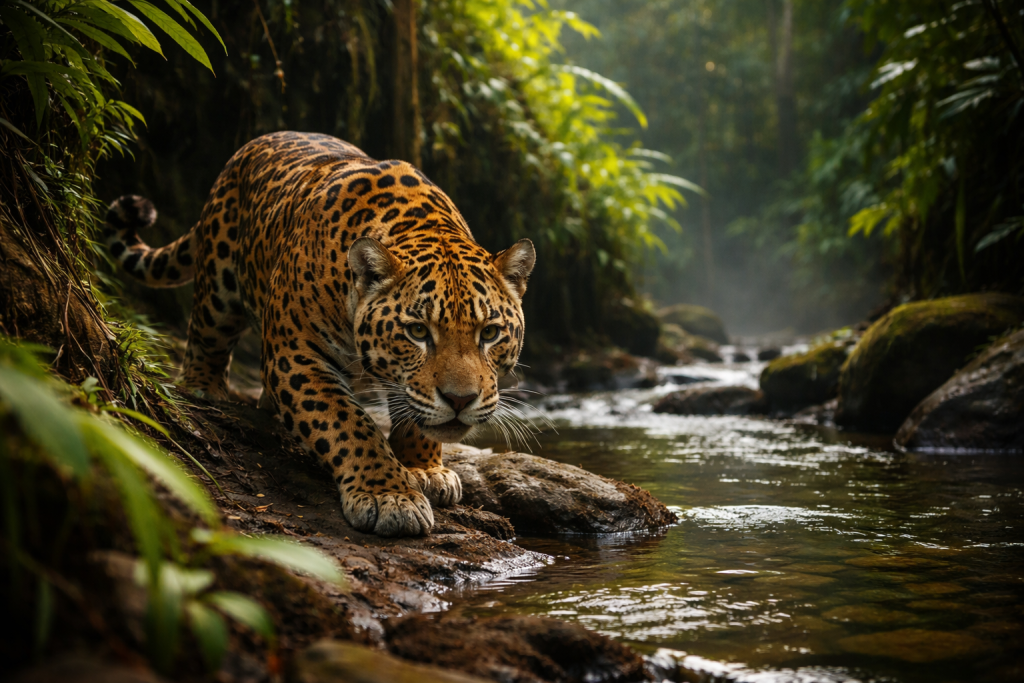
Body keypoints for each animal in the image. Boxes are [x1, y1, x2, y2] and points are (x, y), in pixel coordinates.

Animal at [104, 131, 535, 537]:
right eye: (417, 331)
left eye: (490, 333)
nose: (460, 400)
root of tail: (253, 144)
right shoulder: (297, 356)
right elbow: (350, 424)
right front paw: (388, 495)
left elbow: (414, 415)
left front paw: (423, 468)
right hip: (219, 281)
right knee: (206, 334)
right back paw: (204, 387)